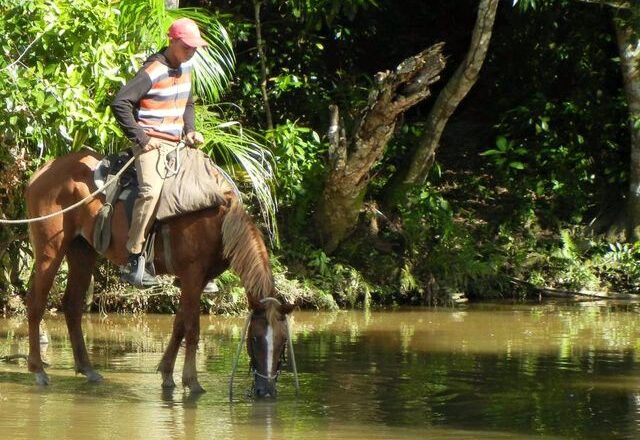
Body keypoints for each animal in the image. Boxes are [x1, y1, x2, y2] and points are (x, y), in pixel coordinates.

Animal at [25, 149, 294, 398]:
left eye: (282, 342)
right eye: (255, 338)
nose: (266, 391)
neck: (217, 220)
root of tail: (44, 171)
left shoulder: (197, 280)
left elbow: (179, 325)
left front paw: (167, 374)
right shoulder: (192, 275)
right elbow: (192, 329)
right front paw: (192, 382)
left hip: (82, 250)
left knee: (72, 305)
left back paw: (88, 369)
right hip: (50, 250)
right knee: (36, 303)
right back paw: (38, 370)